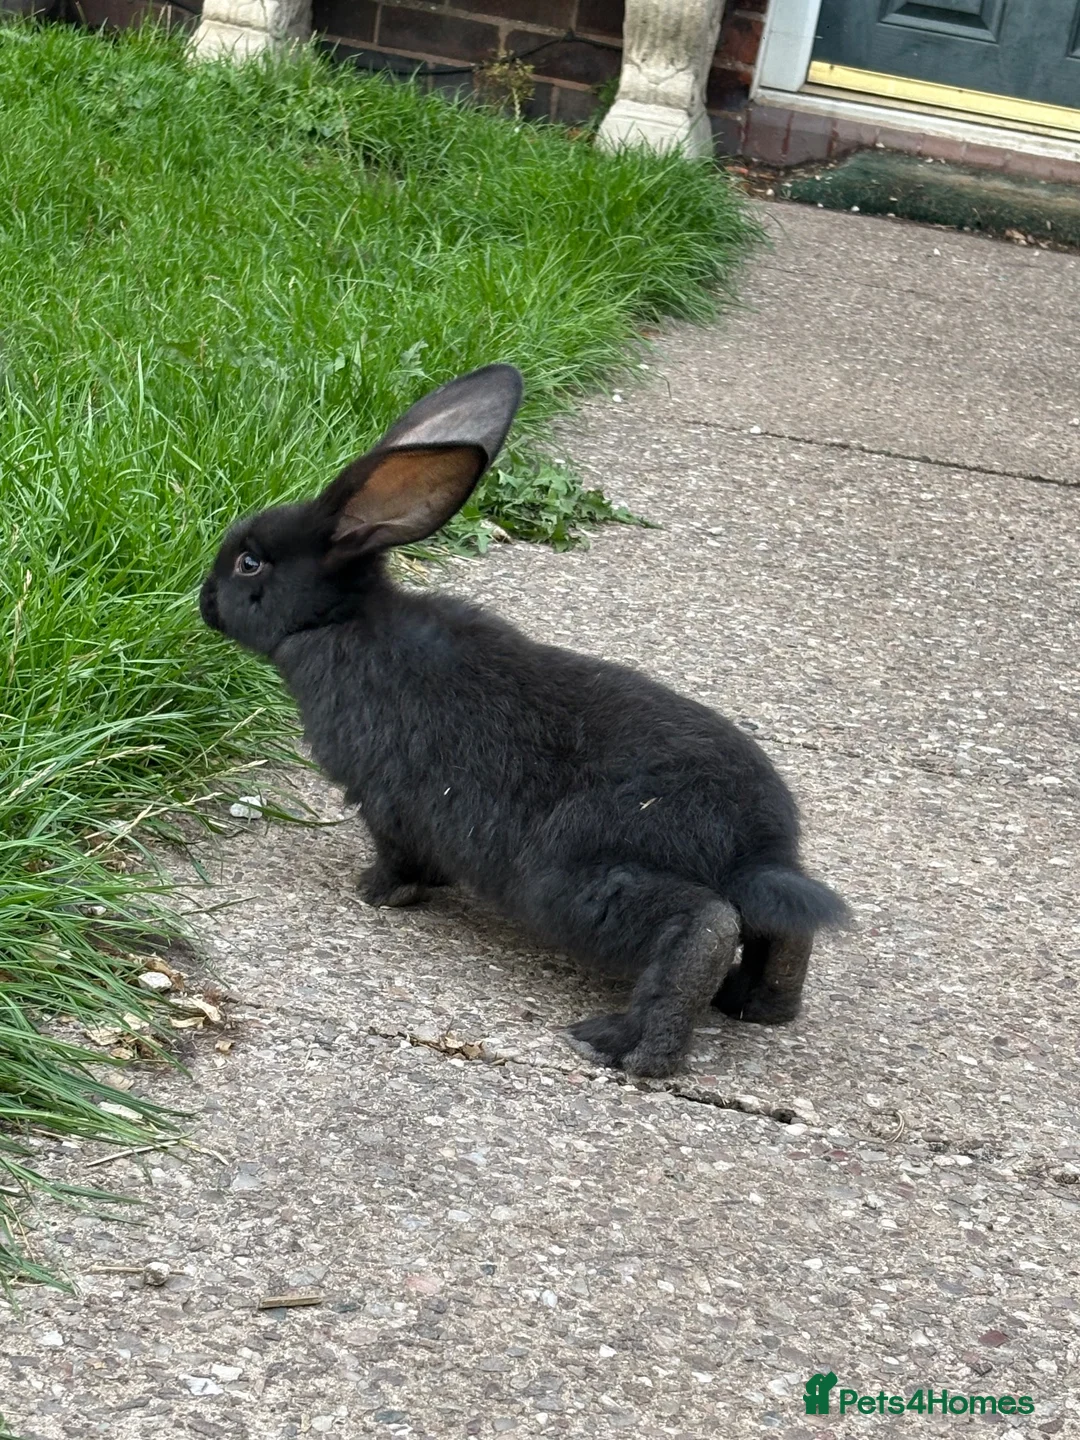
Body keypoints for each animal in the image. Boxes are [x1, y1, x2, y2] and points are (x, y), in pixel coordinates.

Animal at [200, 363, 849, 1079]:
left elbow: (399, 851)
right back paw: (756, 1005)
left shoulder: (386, 798)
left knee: (705, 926)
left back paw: (623, 1046)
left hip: (574, 879)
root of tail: (753, 848)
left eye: (250, 563)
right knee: (781, 928)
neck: (337, 620)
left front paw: (377, 892)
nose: (205, 603)